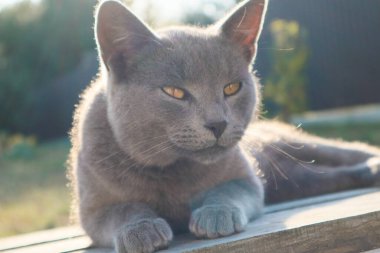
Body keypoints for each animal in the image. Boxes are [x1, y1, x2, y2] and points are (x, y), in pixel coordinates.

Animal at [68, 0, 380, 253]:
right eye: (174, 92)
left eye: (231, 88)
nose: (218, 123)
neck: (171, 170)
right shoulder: (92, 210)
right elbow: (122, 210)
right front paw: (140, 230)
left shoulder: (248, 180)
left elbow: (228, 190)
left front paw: (215, 215)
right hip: (296, 181)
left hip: (295, 145)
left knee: (348, 149)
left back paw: (372, 165)